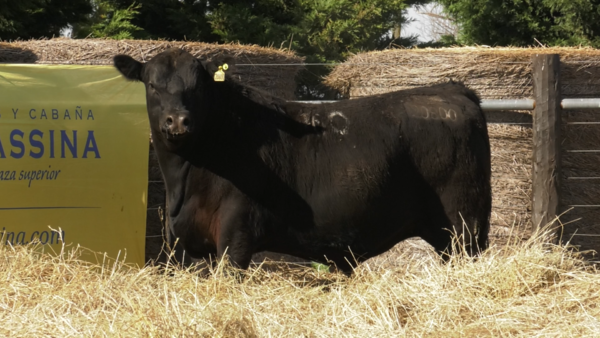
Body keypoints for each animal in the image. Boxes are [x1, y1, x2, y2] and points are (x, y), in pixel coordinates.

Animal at [113, 48, 492, 274]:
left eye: (197, 87)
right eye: (152, 85)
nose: (177, 121)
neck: (185, 179)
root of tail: (452, 90)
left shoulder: (236, 233)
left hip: (464, 226)